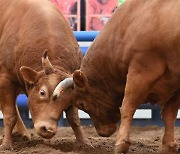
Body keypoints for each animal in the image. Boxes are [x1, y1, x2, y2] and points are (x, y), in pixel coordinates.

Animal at [0, 0, 87, 150]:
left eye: (67, 101)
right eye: (42, 92)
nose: (48, 129)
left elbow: (74, 118)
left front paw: (84, 143)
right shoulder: (5, 80)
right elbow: (10, 115)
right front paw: (6, 144)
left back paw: (23, 134)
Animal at [52, 0, 180, 153]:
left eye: (81, 104)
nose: (102, 132)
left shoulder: (141, 71)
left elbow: (128, 105)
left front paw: (121, 143)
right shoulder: (174, 82)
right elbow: (169, 114)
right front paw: (169, 145)